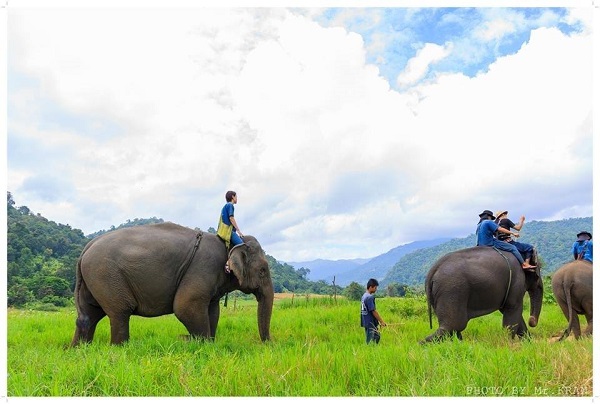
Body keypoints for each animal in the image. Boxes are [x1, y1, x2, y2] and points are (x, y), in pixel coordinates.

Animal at [70, 223, 274, 346]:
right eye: (263, 270)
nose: (268, 344)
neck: (230, 243)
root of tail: (85, 249)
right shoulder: (203, 267)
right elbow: (184, 307)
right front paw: (198, 343)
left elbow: (213, 311)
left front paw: (208, 343)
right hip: (106, 276)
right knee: (119, 312)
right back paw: (120, 349)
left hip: (93, 280)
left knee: (89, 315)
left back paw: (79, 350)